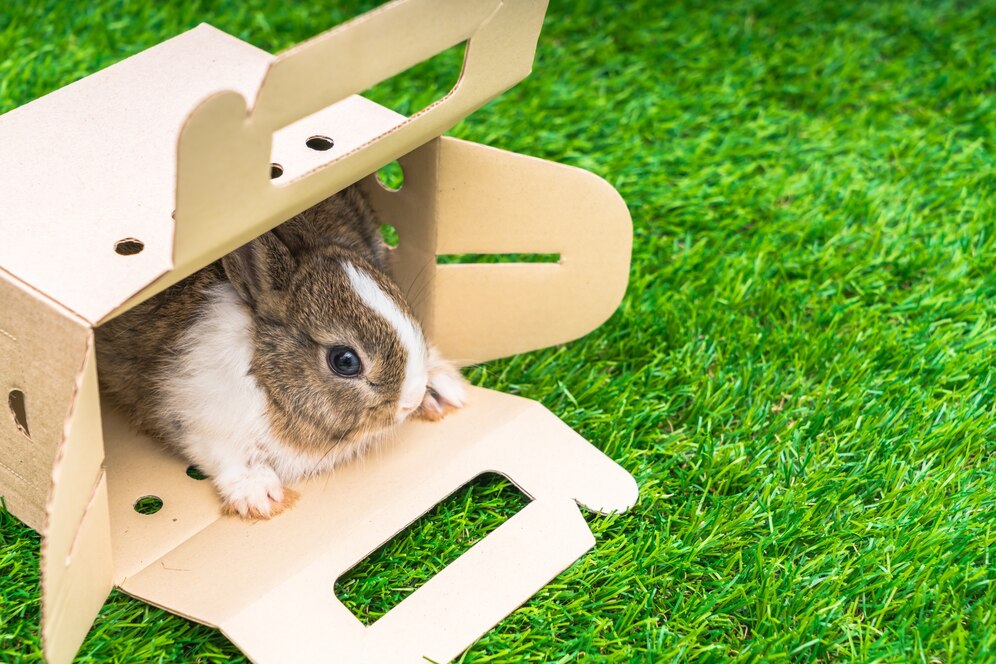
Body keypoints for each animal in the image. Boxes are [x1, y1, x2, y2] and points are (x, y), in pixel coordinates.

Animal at [96, 185, 467, 519]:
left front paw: (443, 392)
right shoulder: (194, 414)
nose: (410, 401)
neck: (268, 380)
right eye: (345, 361)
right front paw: (260, 495)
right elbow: (223, 455)